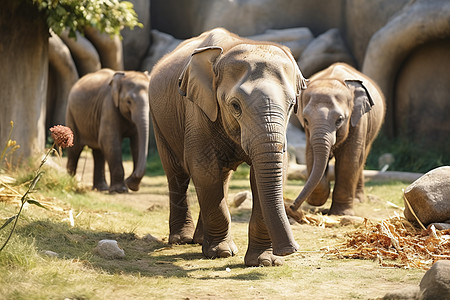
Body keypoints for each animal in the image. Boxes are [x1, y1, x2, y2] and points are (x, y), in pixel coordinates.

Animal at [149, 27, 308, 268]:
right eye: (235, 106)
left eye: (292, 105)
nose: (290, 250)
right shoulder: (197, 109)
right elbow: (204, 169)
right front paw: (222, 253)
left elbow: (262, 175)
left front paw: (264, 261)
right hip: (159, 121)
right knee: (177, 173)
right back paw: (182, 240)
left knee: (221, 178)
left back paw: (199, 240)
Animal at [290, 62, 384, 216]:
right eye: (306, 120)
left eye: (339, 120)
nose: (292, 207)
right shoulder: (309, 133)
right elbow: (311, 156)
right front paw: (319, 198)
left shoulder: (358, 120)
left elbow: (349, 159)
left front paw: (341, 213)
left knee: (361, 157)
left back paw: (358, 200)